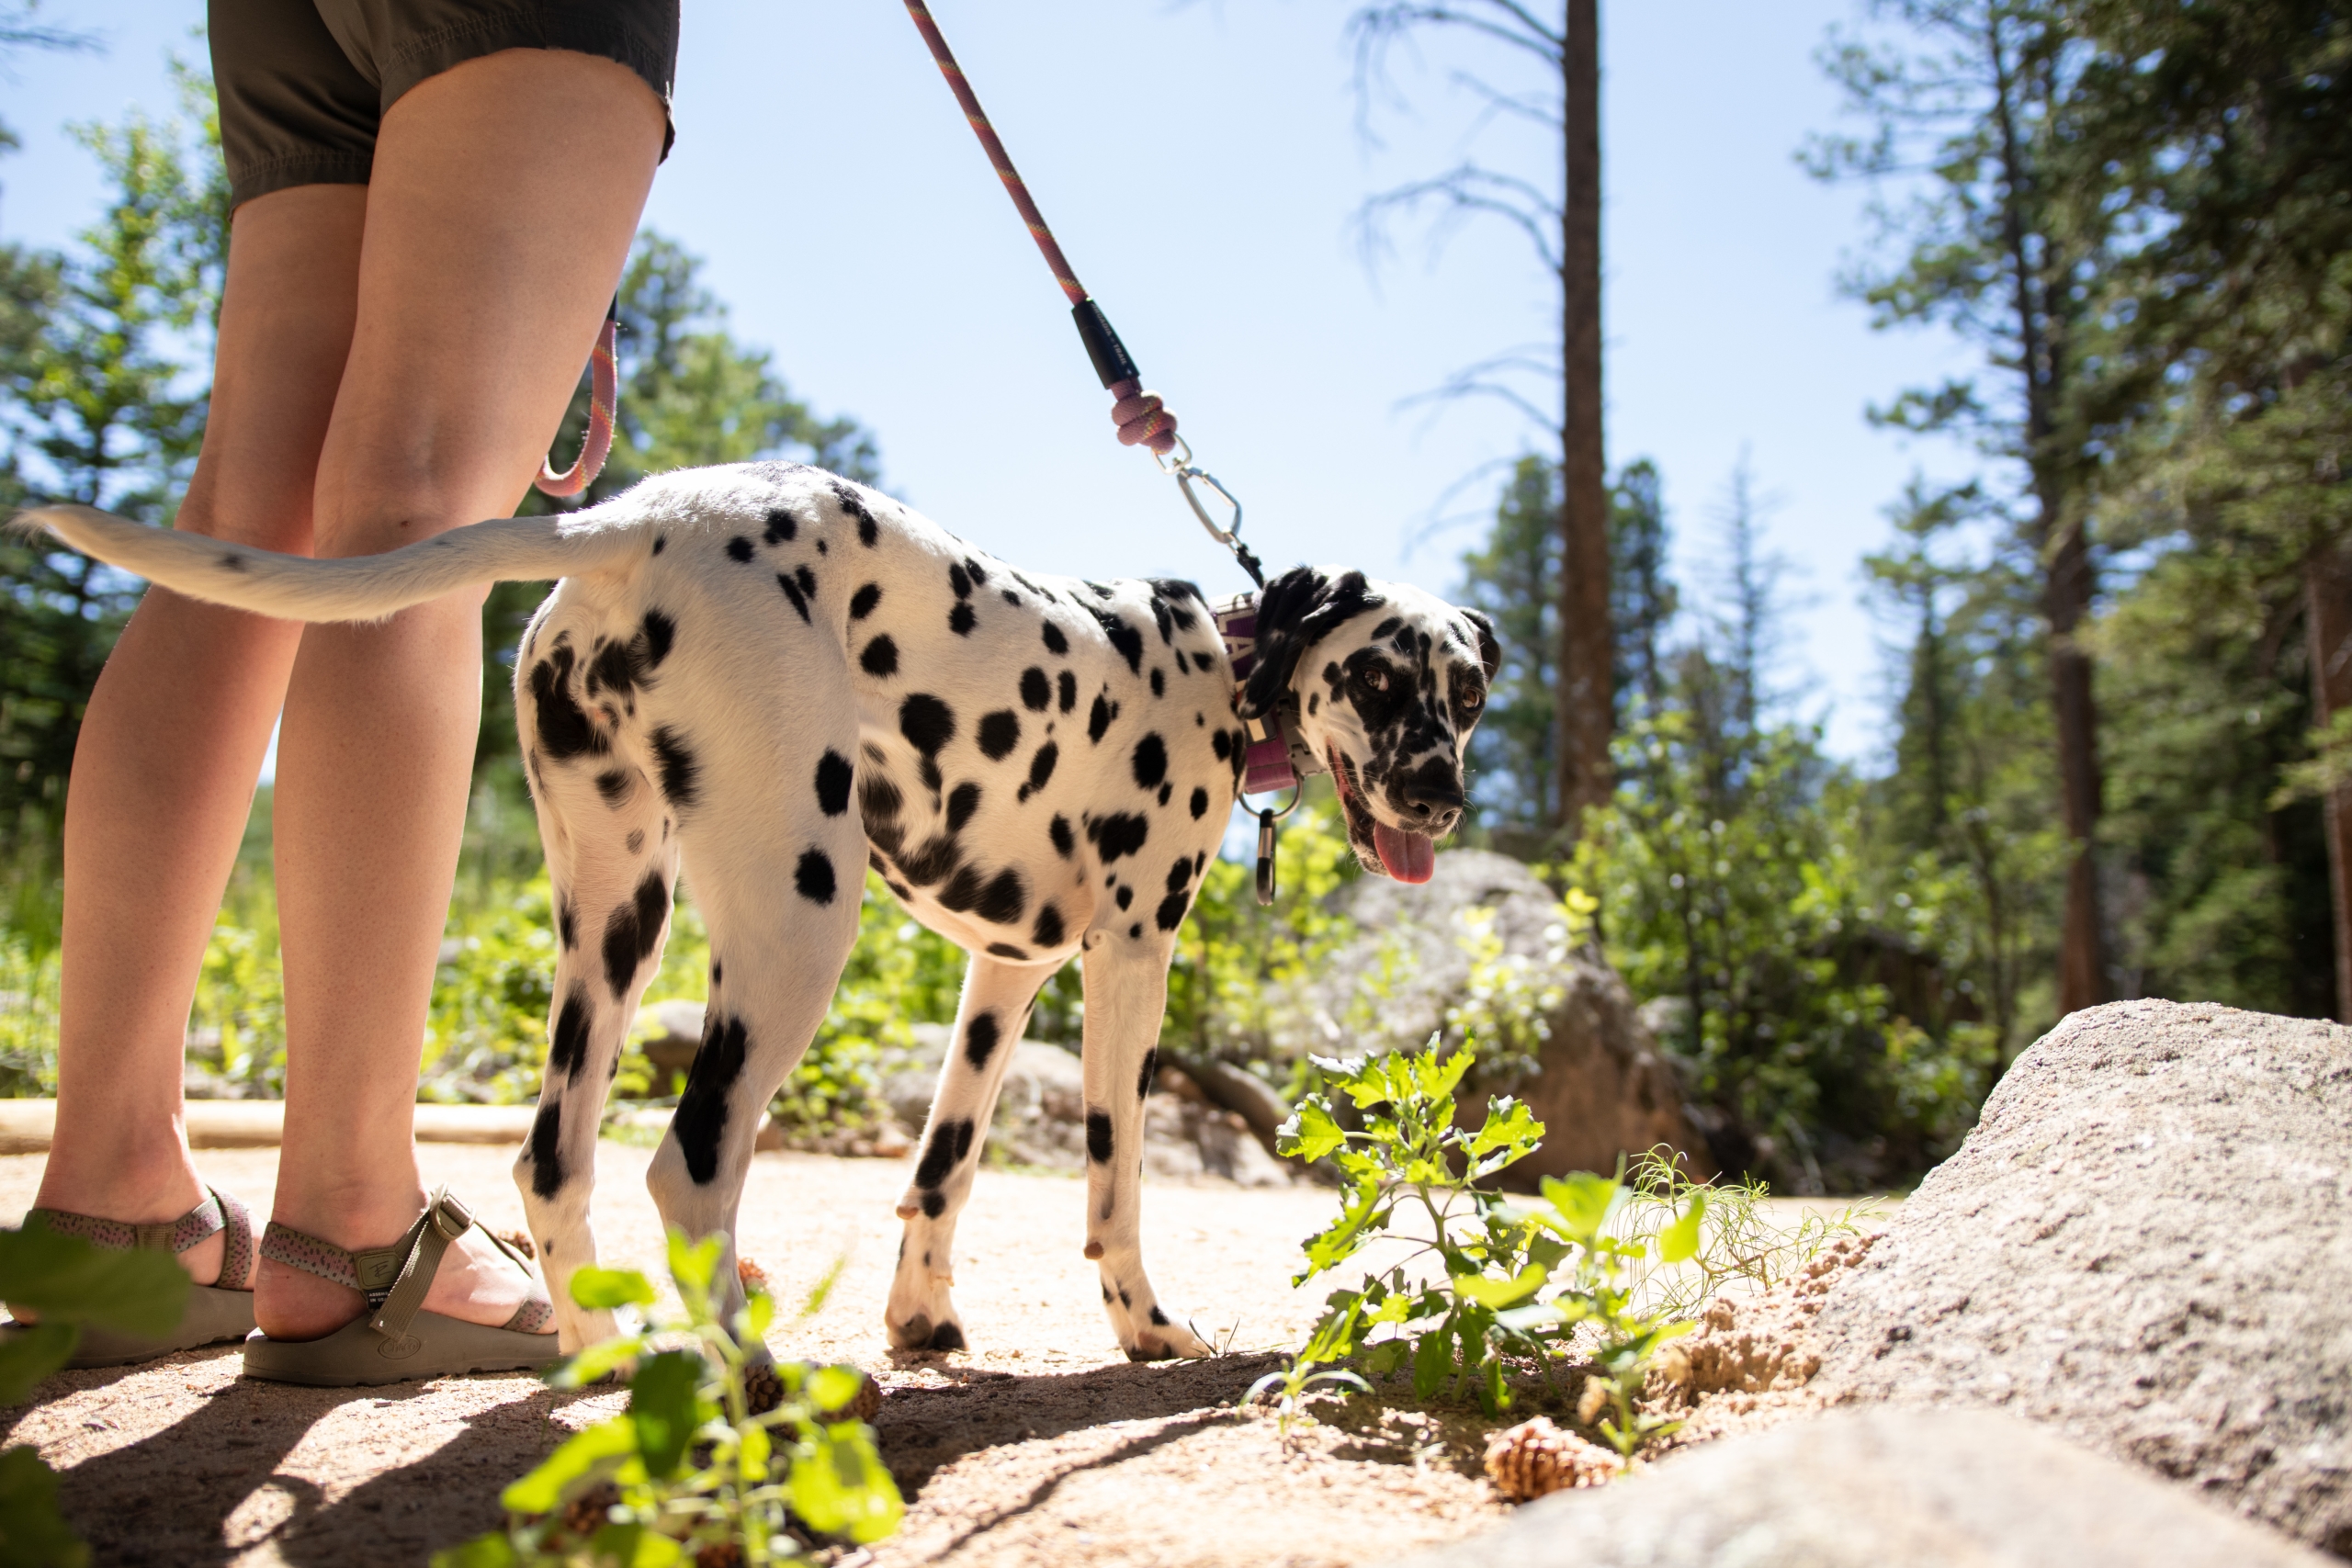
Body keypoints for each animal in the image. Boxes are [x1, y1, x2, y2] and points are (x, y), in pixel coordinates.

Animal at [18, 463, 1496, 1363]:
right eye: (1377, 680)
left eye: (1469, 692)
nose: (1441, 797)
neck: (1223, 662)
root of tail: (638, 519)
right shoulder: (1130, 958)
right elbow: (1116, 1178)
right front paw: (1145, 1329)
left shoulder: (1001, 979)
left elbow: (943, 1164)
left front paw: (920, 1318)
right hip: (797, 926)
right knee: (690, 1167)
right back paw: (747, 1382)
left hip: (615, 927)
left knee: (558, 1164)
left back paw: (608, 1373)